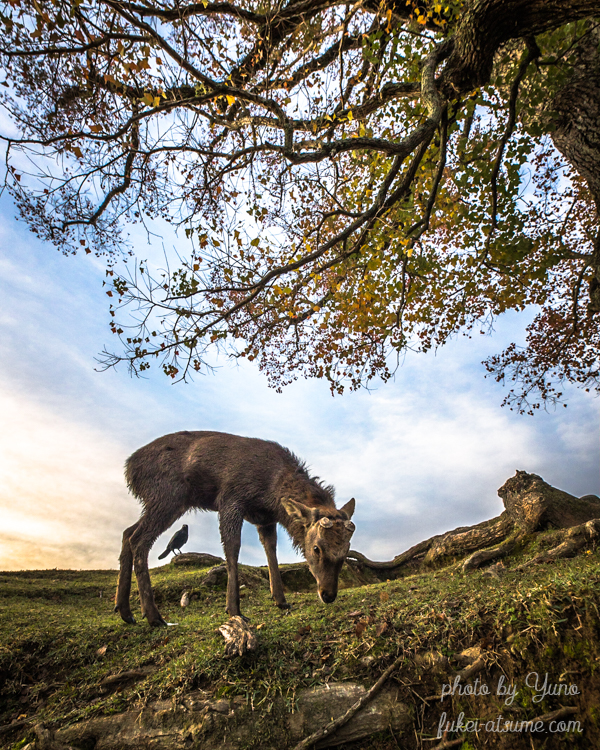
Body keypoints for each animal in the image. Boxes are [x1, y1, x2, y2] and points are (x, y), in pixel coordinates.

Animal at [115, 432, 354, 624]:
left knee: (127, 532)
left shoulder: (264, 520)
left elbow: (271, 551)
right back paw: (153, 616)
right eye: (316, 548)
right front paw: (234, 609)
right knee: (139, 539)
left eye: (345, 553)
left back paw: (125, 611)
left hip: (164, 502)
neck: (271, 495)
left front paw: (281, 600)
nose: (328, 594)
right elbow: (232, 548)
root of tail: (129, 469)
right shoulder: (231, 499)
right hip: (167, 496)